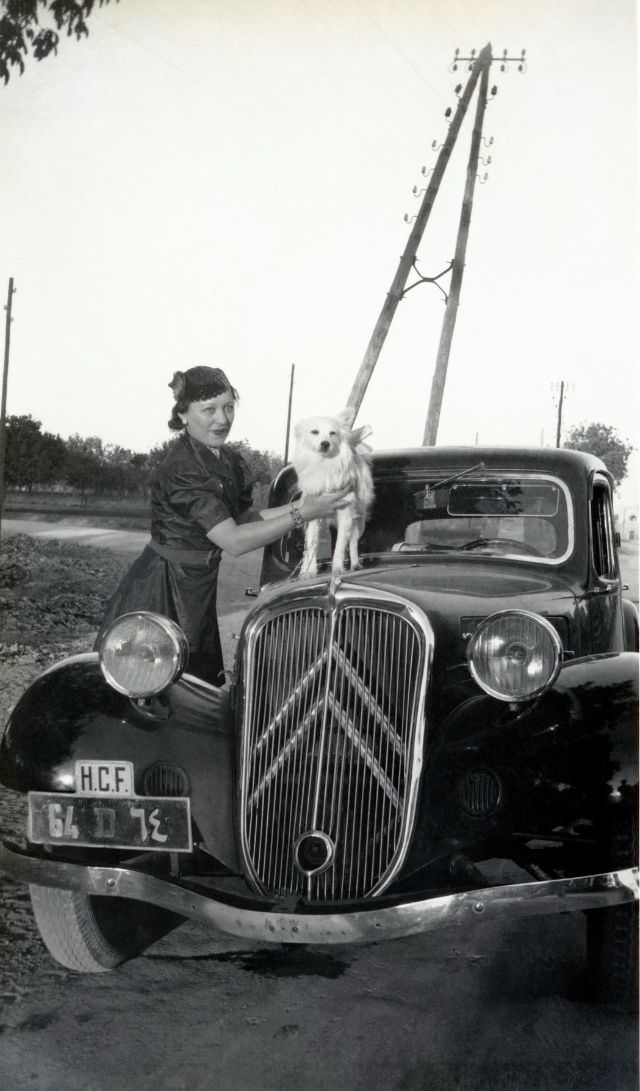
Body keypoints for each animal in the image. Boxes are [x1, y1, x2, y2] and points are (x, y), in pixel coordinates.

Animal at [292, 410, 375, 580]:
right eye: (314, 432)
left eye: (333, 433)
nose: (325, 443)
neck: (324, 463)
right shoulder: (312, 514)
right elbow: (312, 545)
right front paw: (309, 572)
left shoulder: (345, 512)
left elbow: (340, 545)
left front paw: (337, 569)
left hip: (358, 520)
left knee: (352, 542)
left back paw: (355, 564)